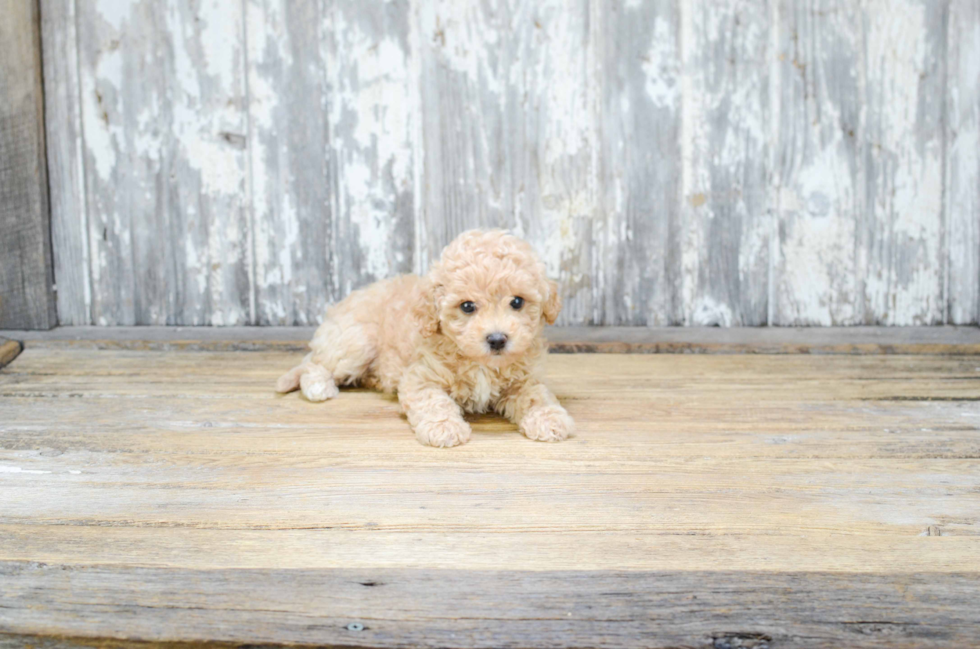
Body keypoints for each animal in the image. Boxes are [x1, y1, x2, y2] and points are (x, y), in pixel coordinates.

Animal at [274, 228, 576, 446]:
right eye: (467, 306)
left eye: (517, 302)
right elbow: (434, 401)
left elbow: (536, 396)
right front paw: (445, 428)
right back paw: (318, 386)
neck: (480, 363)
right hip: (355, 342)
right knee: (315, 364)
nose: (497, 339)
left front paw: (550, 419)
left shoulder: (524, 380)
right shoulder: (420, 377)